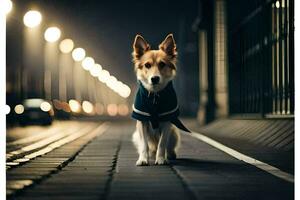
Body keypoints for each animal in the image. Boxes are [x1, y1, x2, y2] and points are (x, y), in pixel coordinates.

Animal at [131, 34, 189, 166]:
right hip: (136, 135)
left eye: (162, 64)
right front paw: (143, 159)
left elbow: (162, 143)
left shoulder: (167, 120)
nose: (155, 78)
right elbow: (144, 144)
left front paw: (161, 159)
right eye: (147, 65)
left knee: (168, 147)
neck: (155, 95)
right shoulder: (142, 120)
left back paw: (170, 155)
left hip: (174, 133)